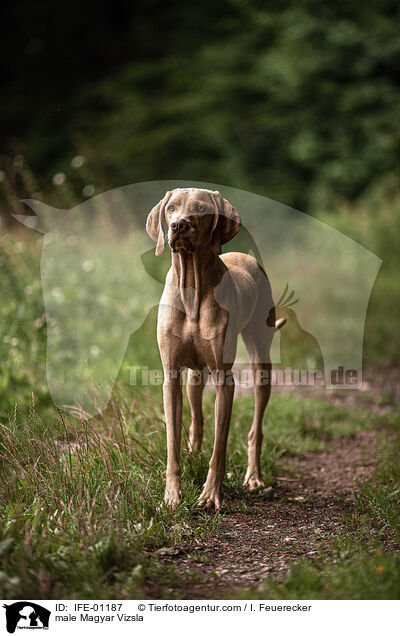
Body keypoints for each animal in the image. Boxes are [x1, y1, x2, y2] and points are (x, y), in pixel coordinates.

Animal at [147, 186, 284, 510]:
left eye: (200, 208)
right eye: (171, 208)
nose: (178, 225)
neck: (192, 289)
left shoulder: (225, 380)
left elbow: (219, 448)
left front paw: (210, 495)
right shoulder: (171, 376)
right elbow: (172, 444)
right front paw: (171, 495)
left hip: (261, 364)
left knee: (256, 429)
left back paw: (254, 477)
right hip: (194, 376)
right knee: (196, 419)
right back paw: (193, 453)